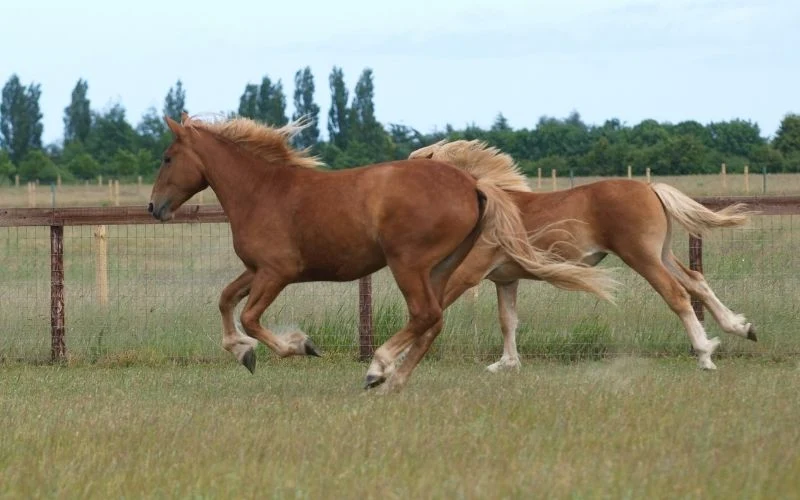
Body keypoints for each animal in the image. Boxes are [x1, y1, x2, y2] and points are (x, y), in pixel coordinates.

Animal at [148, 116, 612, 390]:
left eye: (168, 157)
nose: (154, 207)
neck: (262, 192)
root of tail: (473, 185)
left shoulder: (277, 272)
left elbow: (249, 316)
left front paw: (299, 346)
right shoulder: (255, 270)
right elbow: (226, 299)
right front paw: (243, 352)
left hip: (408, 264)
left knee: (425, 315)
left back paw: (378, 368)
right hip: (439, 268)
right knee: (433, 320)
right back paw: (394, 379)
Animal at [410, 140, 752, 372]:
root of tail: (650, 188)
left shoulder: (467, 275)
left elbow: (435, 310)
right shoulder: (505, 280)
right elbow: (508, 320)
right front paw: (506, 363)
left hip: (643, 258)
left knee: (677, 294)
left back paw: (705, 353)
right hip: (662, 254)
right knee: (696, 282)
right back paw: (741, 327)